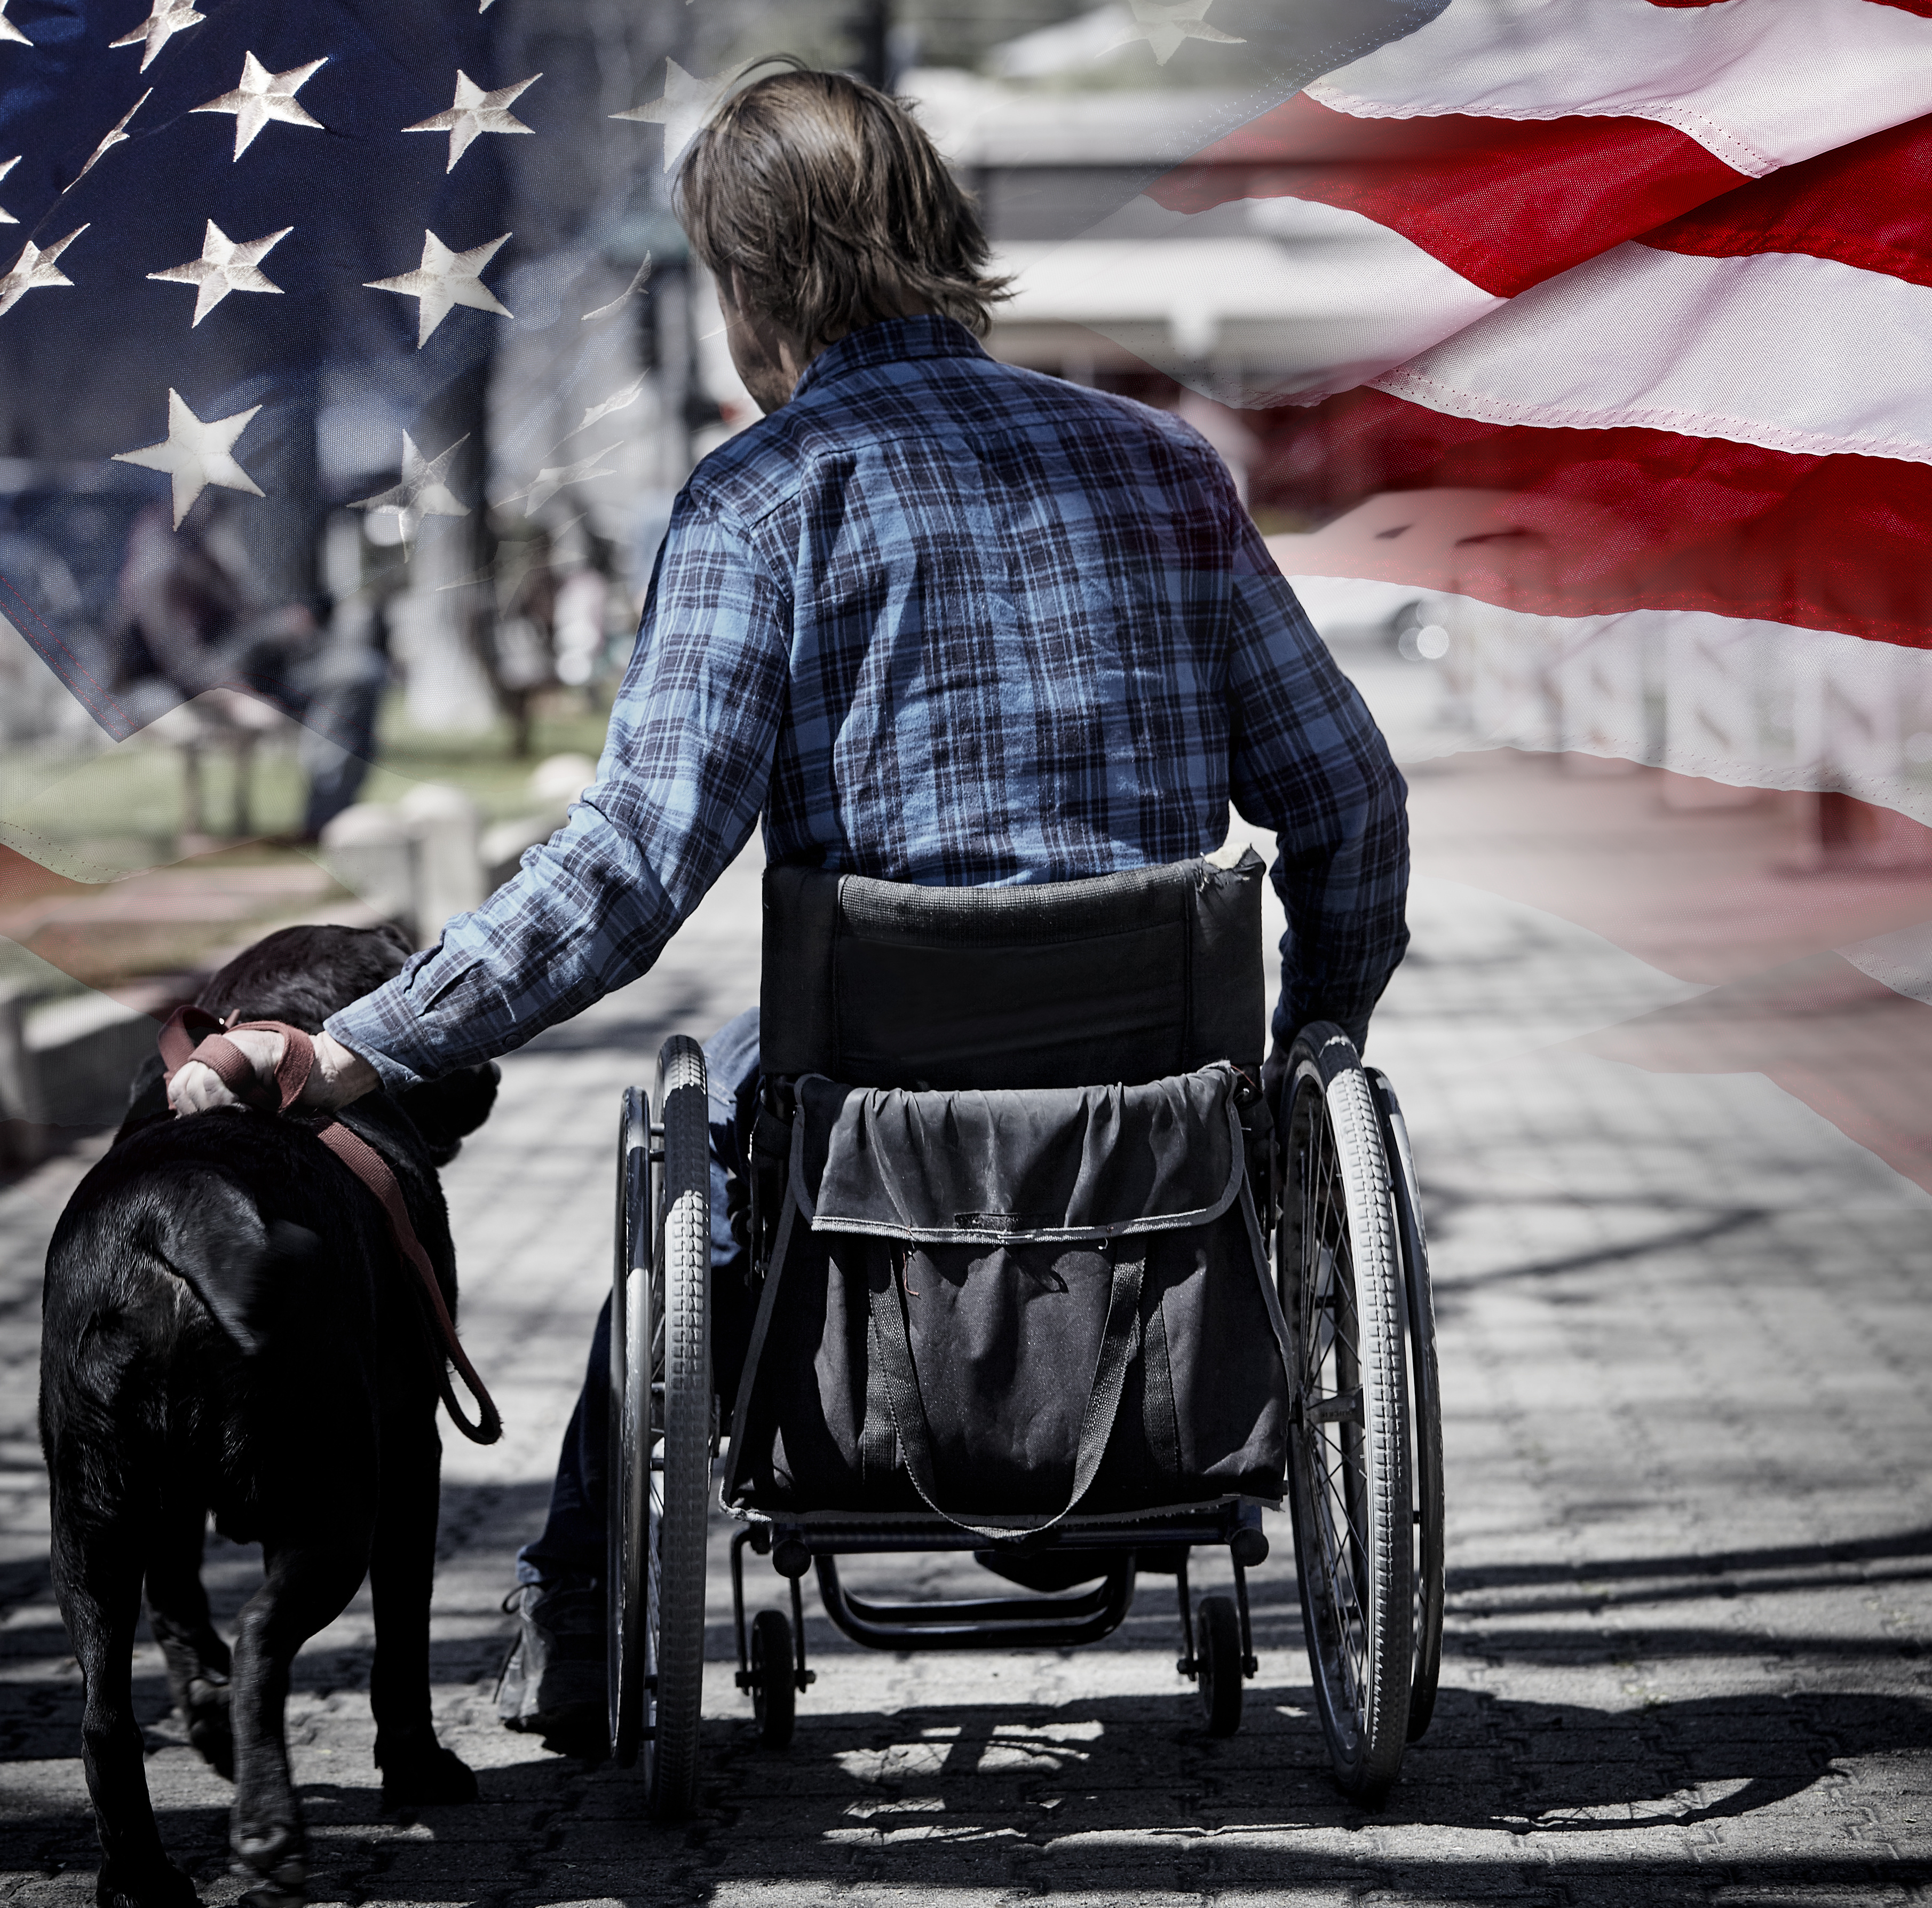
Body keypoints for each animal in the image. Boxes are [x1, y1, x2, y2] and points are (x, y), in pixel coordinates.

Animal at [43, 923, 506, 1908]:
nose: (487, 1071)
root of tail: (181, 1203)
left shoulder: (165, 1510)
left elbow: (178, 1610)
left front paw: (206, 1716)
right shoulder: (412, 1455)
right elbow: (403, 1632)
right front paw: (418, 1765)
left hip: (92, 1518)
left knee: (106, 1713)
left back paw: (143, 1872)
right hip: (336, 1496)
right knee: (263, 1638)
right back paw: (267, 1834)